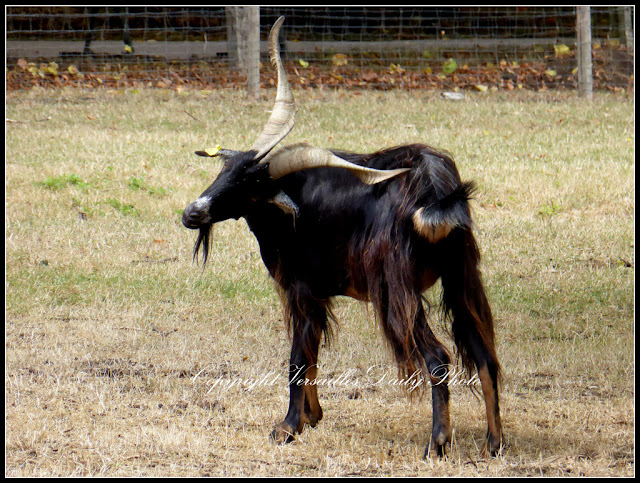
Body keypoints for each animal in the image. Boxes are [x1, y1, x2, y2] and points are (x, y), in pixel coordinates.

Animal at [182, 17, 502, 460]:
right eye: (225, 170)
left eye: (253, 187)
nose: (192, 212)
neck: (295, 209)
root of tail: (436, 189)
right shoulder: (316, 296)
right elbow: (312, 352)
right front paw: (312, 416)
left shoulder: (299, 289)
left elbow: (298, 358)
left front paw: (287, 427)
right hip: (461, 277)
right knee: (484, 353)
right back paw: (494, 442)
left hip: (397, 291)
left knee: (438, 358)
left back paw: (436, 443)